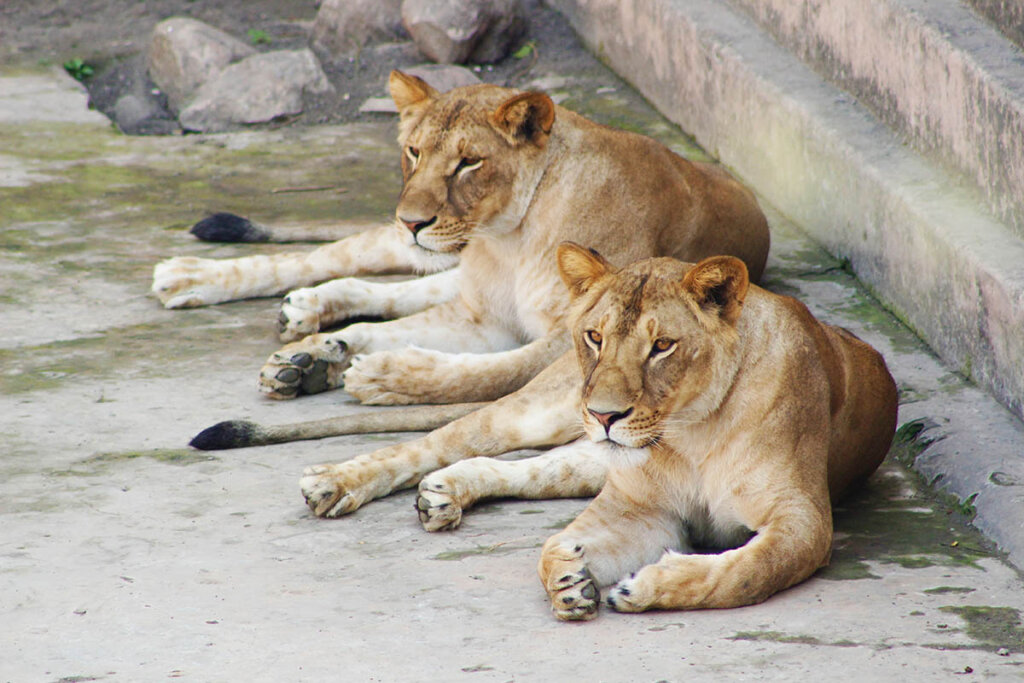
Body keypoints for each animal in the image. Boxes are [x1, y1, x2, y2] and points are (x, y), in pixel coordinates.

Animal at [151, 70, 770, 405]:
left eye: (469, 162)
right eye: (413, 151)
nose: (411, 221)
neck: (509, 236)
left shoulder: (553, 335)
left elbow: (485, 371)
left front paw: (387, 374)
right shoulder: (485, 315)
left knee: (397, 296)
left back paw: (315, 345)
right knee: (345, 255)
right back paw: (195, 279)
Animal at [288, 244, 897, 618]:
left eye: (662, 345)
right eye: (595, 336)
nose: (605, 415)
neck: (690, 433)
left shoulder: (803, 521)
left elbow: (746, 572)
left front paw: (644, 586)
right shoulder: (639, 506)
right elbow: (552, 546)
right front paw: (567, 576)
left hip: (585, 458)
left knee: (526, 469)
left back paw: (445, 492)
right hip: (544, 411)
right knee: (444, 440)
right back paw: (334, 480)